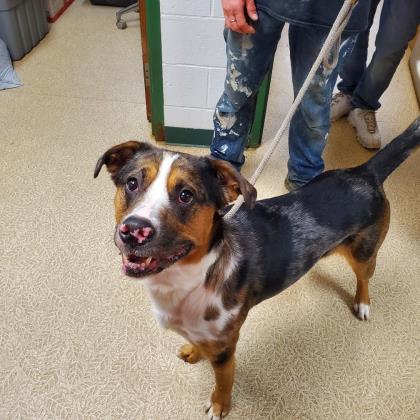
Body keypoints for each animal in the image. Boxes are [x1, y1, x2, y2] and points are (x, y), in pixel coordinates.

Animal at [95, 116, 420, 418]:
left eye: (186, 194)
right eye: (132, 183)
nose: (133, 231)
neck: (191, 277)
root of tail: (365, 171)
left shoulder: (226, 349)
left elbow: (224, 382)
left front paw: (220, 406)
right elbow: (197, 342)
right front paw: (194, 350)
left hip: (364, 252)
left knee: (365, 277)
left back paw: (363, 303)